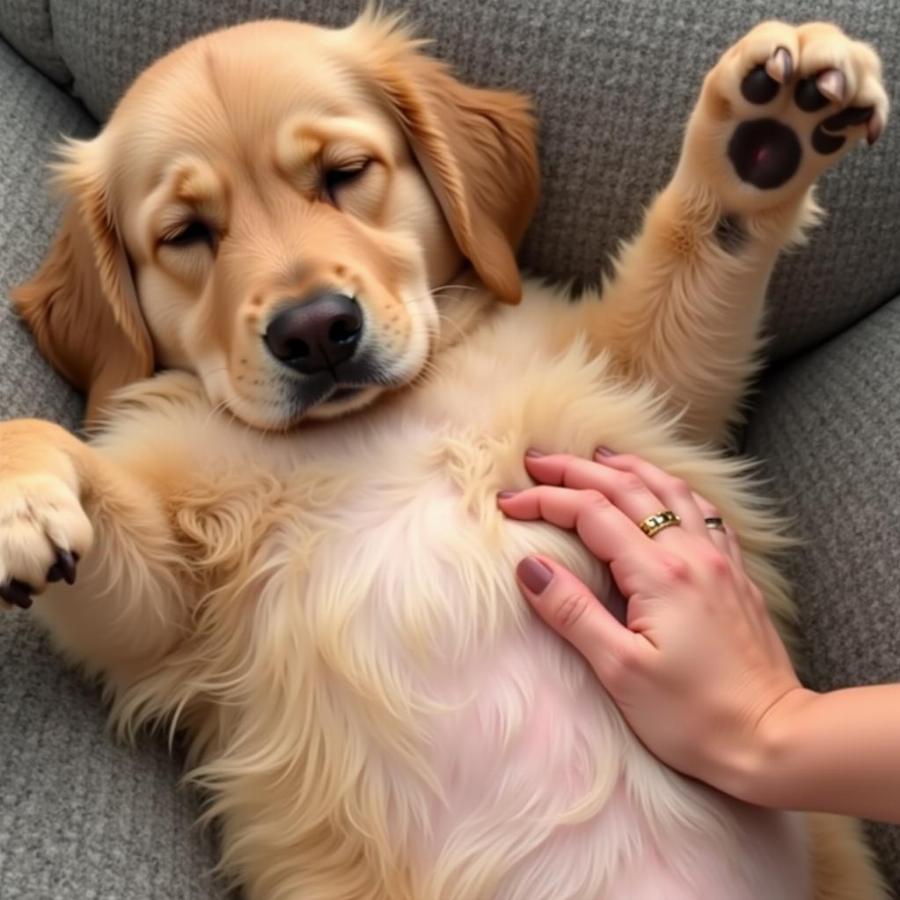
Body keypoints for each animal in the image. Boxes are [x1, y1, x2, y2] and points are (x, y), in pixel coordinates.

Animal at [0, 14, 888, 900]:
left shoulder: (641, 388)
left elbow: (695, 254)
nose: (316, 331)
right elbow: (97, 530)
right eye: (185, 234)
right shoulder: (177, 601)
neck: (379, 419)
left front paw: (761, 138)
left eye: (345, 173)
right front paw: (21, 497)